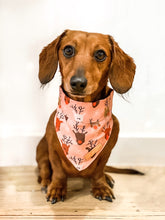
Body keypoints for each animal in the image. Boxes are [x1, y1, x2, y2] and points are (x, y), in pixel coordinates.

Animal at [36, 29, 139, 205]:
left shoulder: (105, 154)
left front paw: (101, 186)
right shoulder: (53, 151)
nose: (78, 83)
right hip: (41, 149)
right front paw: (56, 188)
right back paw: (45, 182)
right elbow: (58, 171)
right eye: (68, 50)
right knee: (43, 169)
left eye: (100, 54)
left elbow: (98, 171)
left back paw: (107, 177)